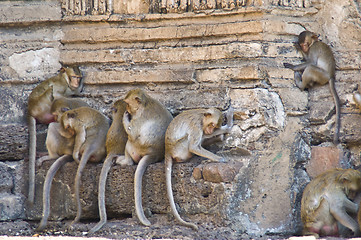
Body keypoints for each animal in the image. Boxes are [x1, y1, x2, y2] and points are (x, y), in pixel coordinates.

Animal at [27, 66, 83, 204]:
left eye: (78, 78)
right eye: (74, 77)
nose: (76, 82)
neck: (65, 79)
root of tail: (30, 110)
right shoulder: (61, 86)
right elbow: (57, 94)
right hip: (43, 104)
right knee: (51, 91)